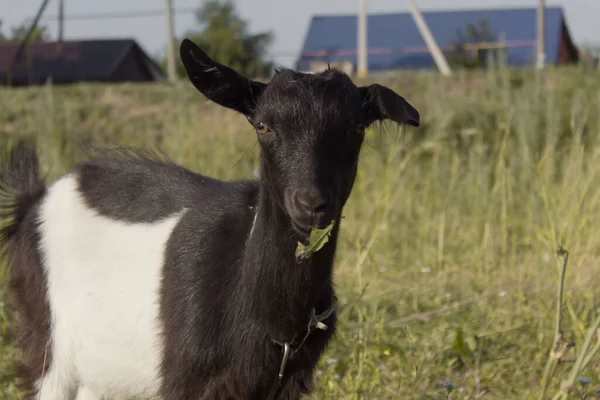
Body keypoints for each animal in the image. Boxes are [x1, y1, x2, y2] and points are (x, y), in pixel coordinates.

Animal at [2, 38, 420, 400]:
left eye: (357, 126)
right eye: (263, 125)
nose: (311, 202)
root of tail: (36, 198)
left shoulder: (286, 382)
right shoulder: (186, 380)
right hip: (51, 347)